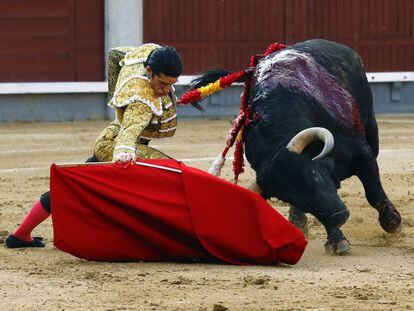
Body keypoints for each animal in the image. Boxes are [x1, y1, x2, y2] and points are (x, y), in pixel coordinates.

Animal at [190, 39, 402, 255]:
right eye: (292, 198)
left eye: (314, 174)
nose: (340, 216)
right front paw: (336, 239)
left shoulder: (362, 153)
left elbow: (373, 192)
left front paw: (392, 222)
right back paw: (298, 221)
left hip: (371, 129)